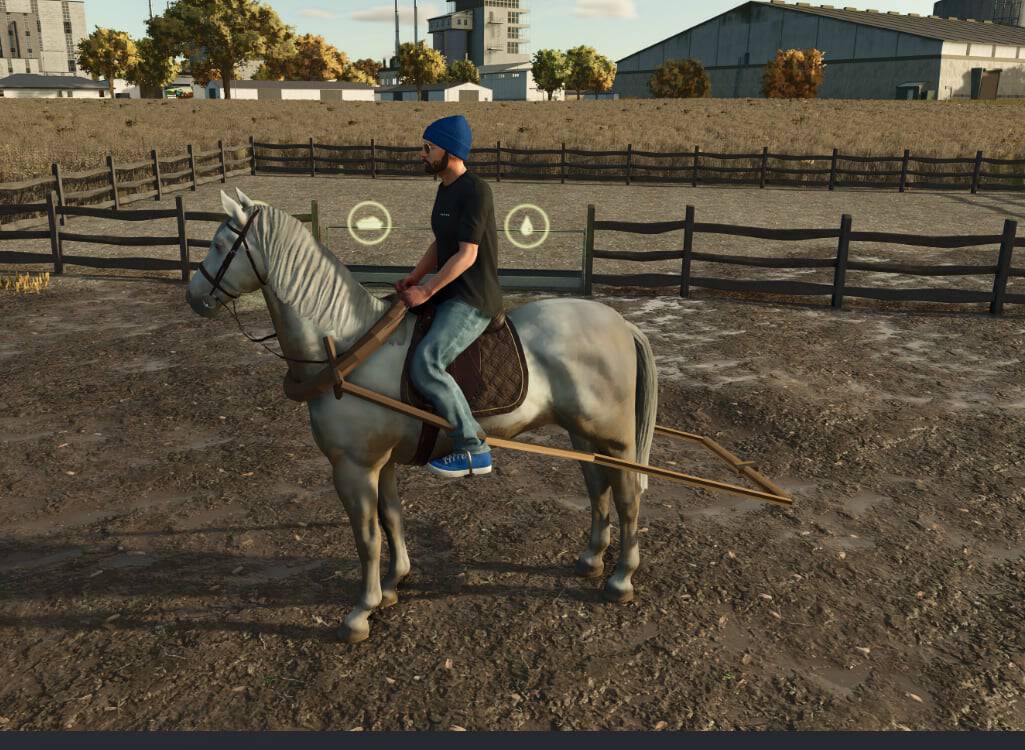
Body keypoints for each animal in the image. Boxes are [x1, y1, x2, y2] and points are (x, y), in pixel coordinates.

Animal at [185, 188, 659, 643]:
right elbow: (391, 518)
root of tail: (620, 323)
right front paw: (394, 583)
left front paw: (361, 612)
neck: (346, 348)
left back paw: (621, 578)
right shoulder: (382, 463)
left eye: (220, 244)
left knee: (627, 496)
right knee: (598, 487)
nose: (193, 296)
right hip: (584, 435)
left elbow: (367, 537)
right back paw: (592, 559)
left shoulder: (353, 467)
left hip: (614, 439)